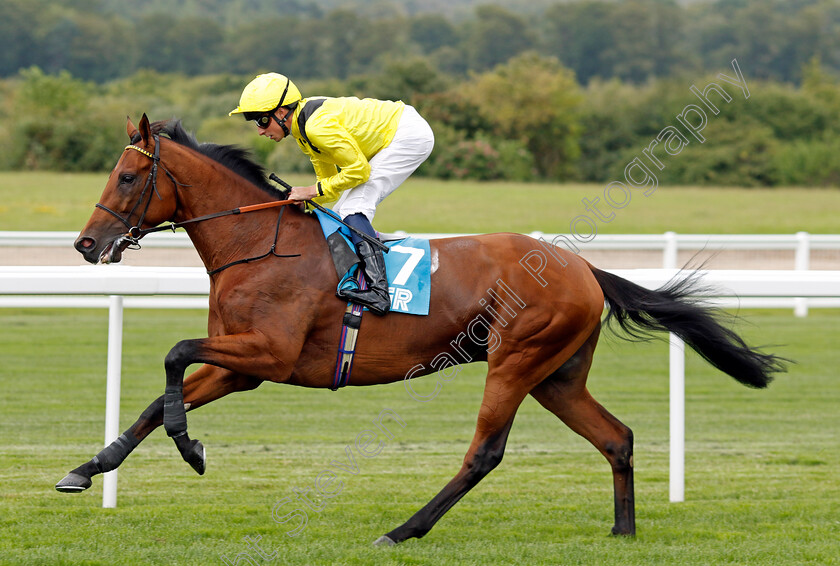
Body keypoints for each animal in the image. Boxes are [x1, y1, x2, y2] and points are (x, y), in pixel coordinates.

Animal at [60, 115, 788, 544]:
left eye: (128, 175)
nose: (86, 245)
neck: (257, 243)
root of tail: (582, 267)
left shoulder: (269, 353)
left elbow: (174, 354)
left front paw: (191, 448)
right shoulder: (243, 366)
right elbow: (159, 395)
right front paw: (88, 468)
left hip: (516, 358)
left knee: (485, 453)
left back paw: (403, 529)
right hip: (557, 375)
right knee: (617, 438)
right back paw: (623, 533)